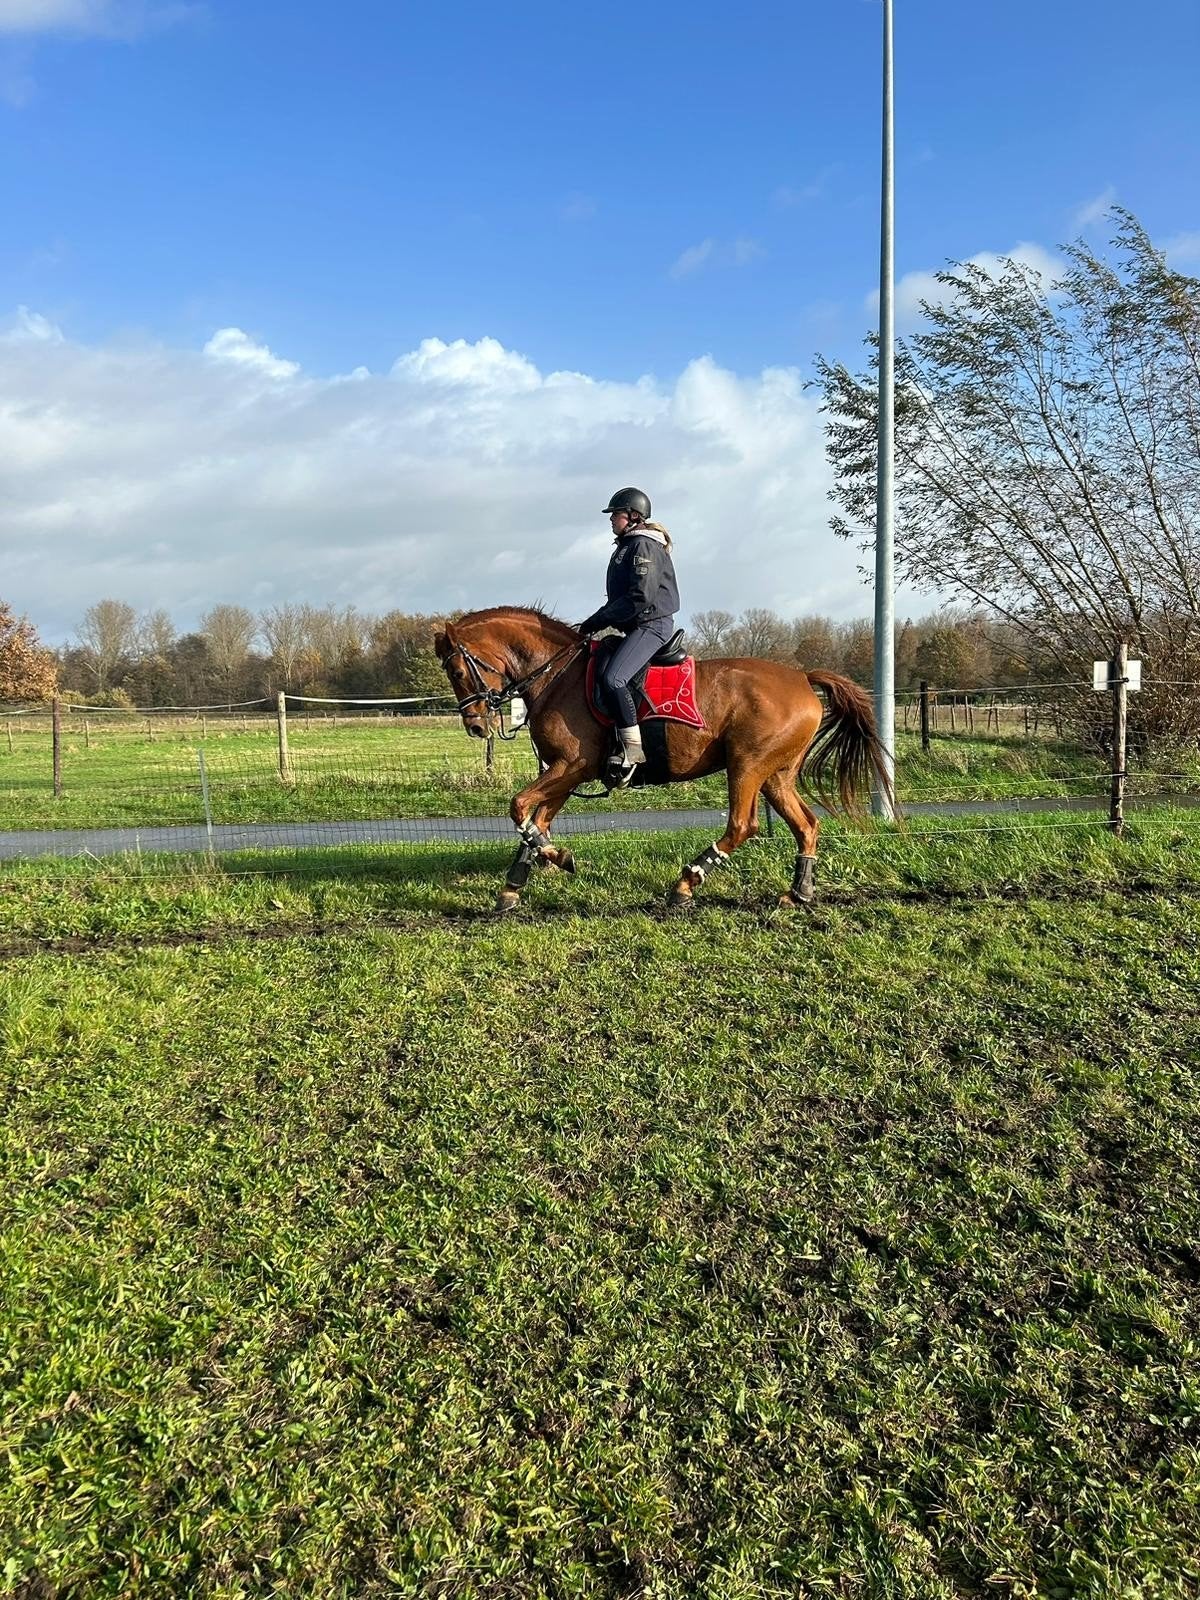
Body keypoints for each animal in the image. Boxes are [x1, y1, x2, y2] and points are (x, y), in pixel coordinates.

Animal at [434, 607, 894, 914]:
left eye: (456, 672)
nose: (475, 726)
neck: (556, 676)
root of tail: (801, 677)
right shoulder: (563, 774)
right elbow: (535, 822)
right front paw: (516, 884)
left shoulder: (572, 767)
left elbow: (519, 809)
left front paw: (556, 859)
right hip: (775, 775)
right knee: (806, 825)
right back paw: (799, 892)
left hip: (747, 766)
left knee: (742, 826)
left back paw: (686, 883)